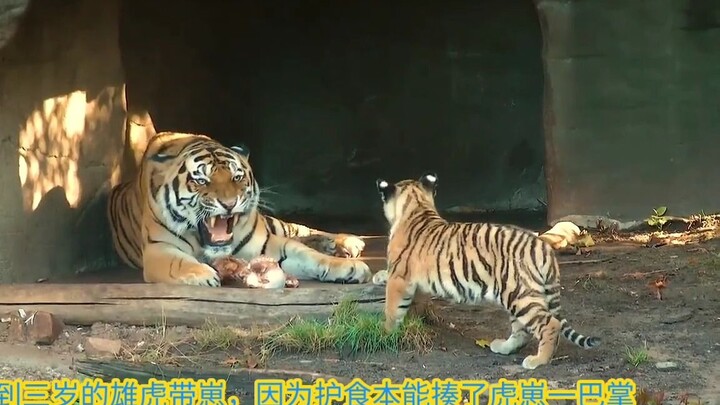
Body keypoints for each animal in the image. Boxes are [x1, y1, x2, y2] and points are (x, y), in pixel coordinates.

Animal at [106, 131, 373, 287]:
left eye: (237, 177)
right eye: (201, 180)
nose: (229, 203)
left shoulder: (266, 243)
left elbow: (308, 256)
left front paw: (349, 268)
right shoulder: (158, 250)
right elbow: (179, 263)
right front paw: (203, 274)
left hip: (272, 224)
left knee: (298, 230)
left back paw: (346, 243)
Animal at [374, 172, 601, 370]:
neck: (417, 206)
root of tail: (542, 246)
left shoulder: (399, 278)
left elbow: (392, 309)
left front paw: (385, 332)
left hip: (520, 295)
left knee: (549, 324)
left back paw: (537, 360)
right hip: (517, 296)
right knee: (523, 330)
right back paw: (503, 347)